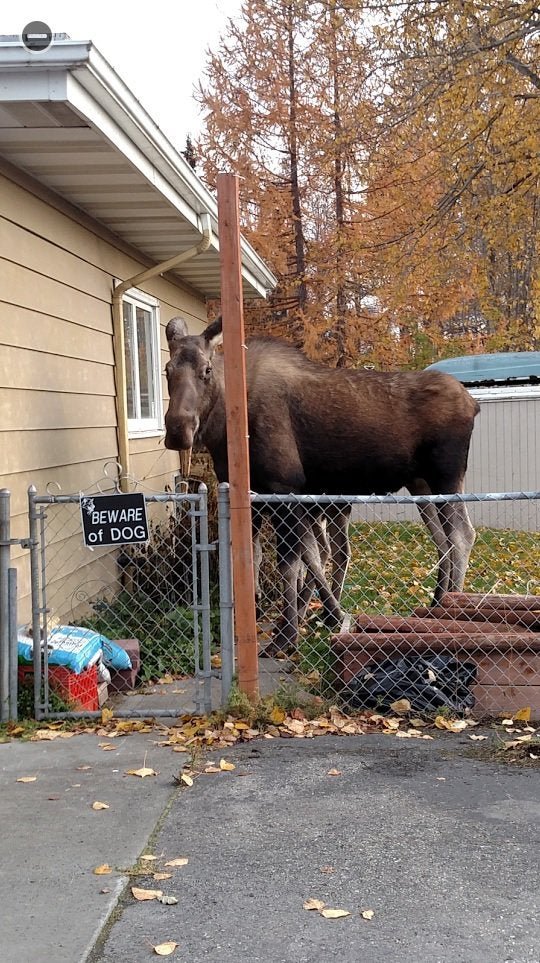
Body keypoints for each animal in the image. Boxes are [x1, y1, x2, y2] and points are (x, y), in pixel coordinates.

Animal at [162, 320, 478, 652]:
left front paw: (288, 634)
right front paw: (302, 614)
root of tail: (473, 404)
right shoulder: (257, 498)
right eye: (167, 369)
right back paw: (436, 603)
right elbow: (267, 556)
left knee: (461, 535)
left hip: (446, 477)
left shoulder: (284, 488)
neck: (226, 430)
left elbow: (292, 562)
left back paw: (450, 610)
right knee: (442, 541)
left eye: (207, 369)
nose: (178, 430)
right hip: (421, 486)